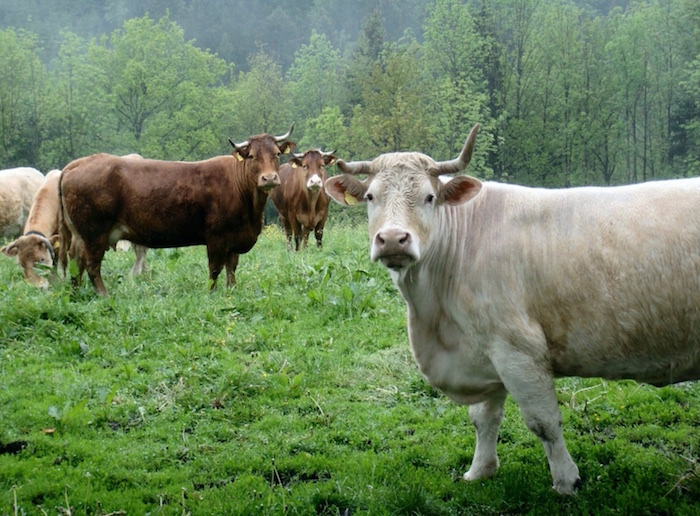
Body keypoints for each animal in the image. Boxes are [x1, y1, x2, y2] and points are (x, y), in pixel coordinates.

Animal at [56, 126, 292, 296]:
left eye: (277, 154)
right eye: (251, 156)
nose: (269, 178)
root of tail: (78, 163)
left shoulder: (234, 237)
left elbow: (231, 267)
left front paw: (231, 290)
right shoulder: (217, 236)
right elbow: (215, 268)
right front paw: (211, 293)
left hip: (80, 235)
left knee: (77, 261)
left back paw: (76, 292)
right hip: (95, 234)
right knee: (92, 265)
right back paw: (104, 295)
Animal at [326, 124, 700, 496]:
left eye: (429, 197)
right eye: (370, 197)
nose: (392, 239)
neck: (436, 321)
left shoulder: (517, 347)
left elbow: (544, 422)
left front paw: (566, 481)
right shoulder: (484, 350)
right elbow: (483, 418)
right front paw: (480, 470)